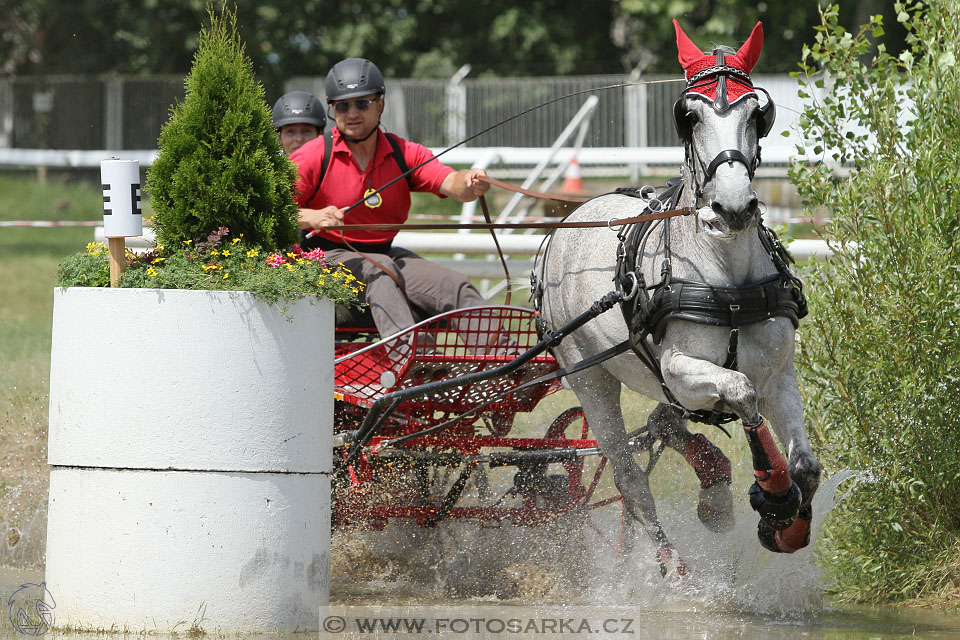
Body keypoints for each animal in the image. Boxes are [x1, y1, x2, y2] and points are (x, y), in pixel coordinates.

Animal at [536, 21, 820, 580]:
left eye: (759, 112)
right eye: (688, 115)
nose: (732, 208)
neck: (727, 281)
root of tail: (569, 221)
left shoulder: (779, 374)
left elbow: (806, 465)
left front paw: (787, 524)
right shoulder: (680, 370)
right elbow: (740, 392)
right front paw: (774, 499)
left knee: (665, 425)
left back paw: (714, 490)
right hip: (590, 379)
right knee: (629, 478)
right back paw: (673, 564)